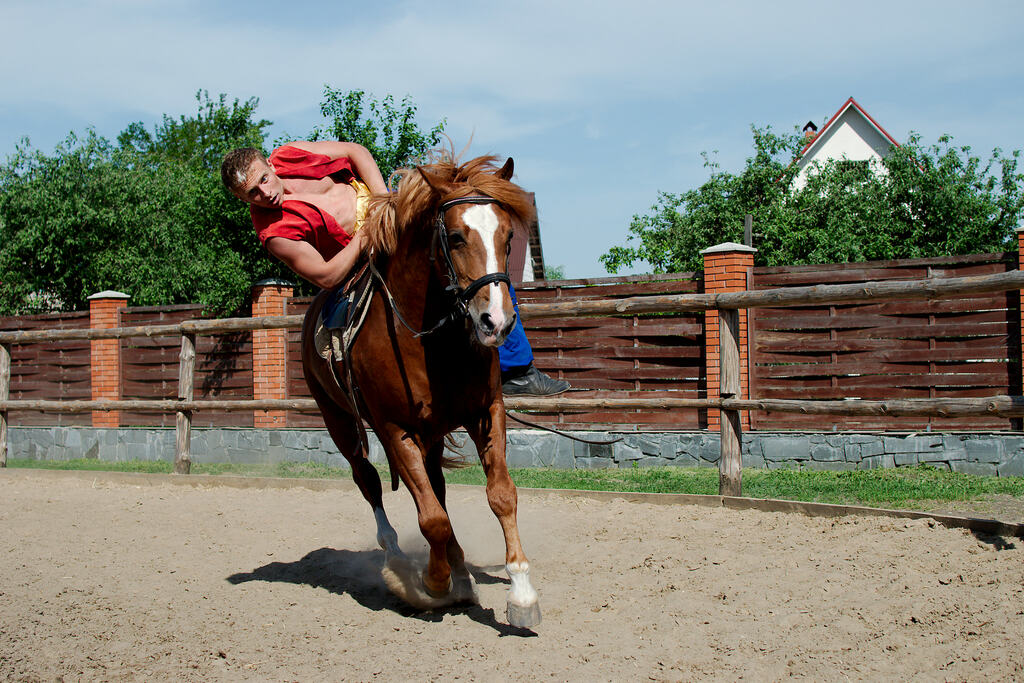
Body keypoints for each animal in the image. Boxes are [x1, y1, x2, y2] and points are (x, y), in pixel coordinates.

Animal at [300, 152, 542, 628]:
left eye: (508, 236)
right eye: (456, 236)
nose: (497, 322)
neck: (428, 339)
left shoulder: (486, 412)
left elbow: (501, 495)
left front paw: (521, 593)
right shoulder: (395, 431)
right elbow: (431, 519)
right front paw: (430, 583)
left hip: (429, 435)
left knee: (438, 491)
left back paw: (460, 573)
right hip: (341, 422)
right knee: (369, 481)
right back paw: (398, 560)